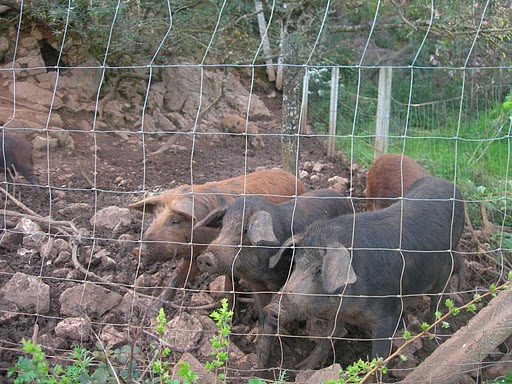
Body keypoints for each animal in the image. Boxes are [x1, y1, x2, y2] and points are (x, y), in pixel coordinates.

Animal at [129, 170, 304, 302]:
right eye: (155, 217)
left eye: (175, 221)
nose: (136, 251)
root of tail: (295, 179)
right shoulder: (195, 255)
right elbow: (176, 278)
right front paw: (154, 311)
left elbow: (228, 283)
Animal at [194, 188, 354, 328]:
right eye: (222, 226)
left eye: (245, 230)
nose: (204, 257)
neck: (258, 272)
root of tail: (342, 196)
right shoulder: (256, 285)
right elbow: (261, 310)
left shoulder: (279, 280)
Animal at [262, 177, 466, 368]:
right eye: (296, 264)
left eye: (319, 270)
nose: (271, 309)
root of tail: (449, 184)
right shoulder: (337, 311)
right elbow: (329, 335)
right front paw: (303, 367)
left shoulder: (388, 314)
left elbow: (379, 358)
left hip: (446, 263)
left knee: (437, 298)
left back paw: (429, 329)